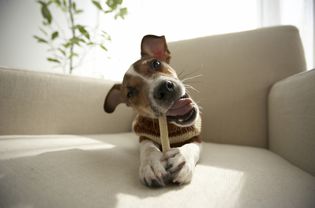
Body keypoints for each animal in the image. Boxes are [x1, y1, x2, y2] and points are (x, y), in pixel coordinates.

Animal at [104, 35, 202, 188]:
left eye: (156, 63)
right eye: (130, 93)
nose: (163, 89)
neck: (170, 127)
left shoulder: (196, 136)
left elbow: (191, 146)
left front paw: (182, 158)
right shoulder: (144, 136)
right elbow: (148, 148)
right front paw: (151, 164)